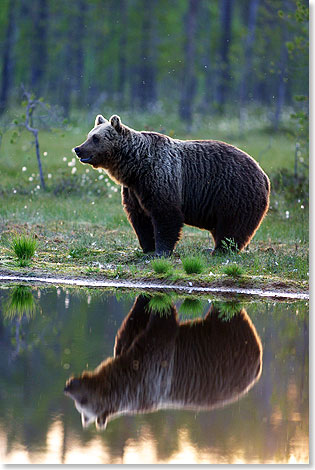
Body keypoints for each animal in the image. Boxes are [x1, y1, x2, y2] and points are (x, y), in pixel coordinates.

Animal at [63, 296, 262, 432]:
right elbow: (133, 323)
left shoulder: (154, 368)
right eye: (78, 405)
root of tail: (258, 365)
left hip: (227, 348)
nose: (68, 386)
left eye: (82, 400)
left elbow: (162, 323)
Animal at [74, 116, 272, 258]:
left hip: (234, 192)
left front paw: (160, 251)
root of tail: (263, 174)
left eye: (96, 138)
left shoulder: (160, 177)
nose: (78, 149)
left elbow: (166, 215)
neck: (135, 167)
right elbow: (140, 218)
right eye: (89, 135)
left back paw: (220, 250)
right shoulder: (134, 190)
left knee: (232, 226)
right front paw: (147, 247)